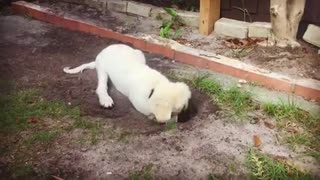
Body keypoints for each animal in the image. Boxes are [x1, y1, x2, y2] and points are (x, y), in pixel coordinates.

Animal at [63, 44, 191, 122]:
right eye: (175, 112)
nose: (184, 119)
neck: (154, 86)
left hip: (139, 53)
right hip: (103, 69)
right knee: (101, 87)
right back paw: (106, 100)